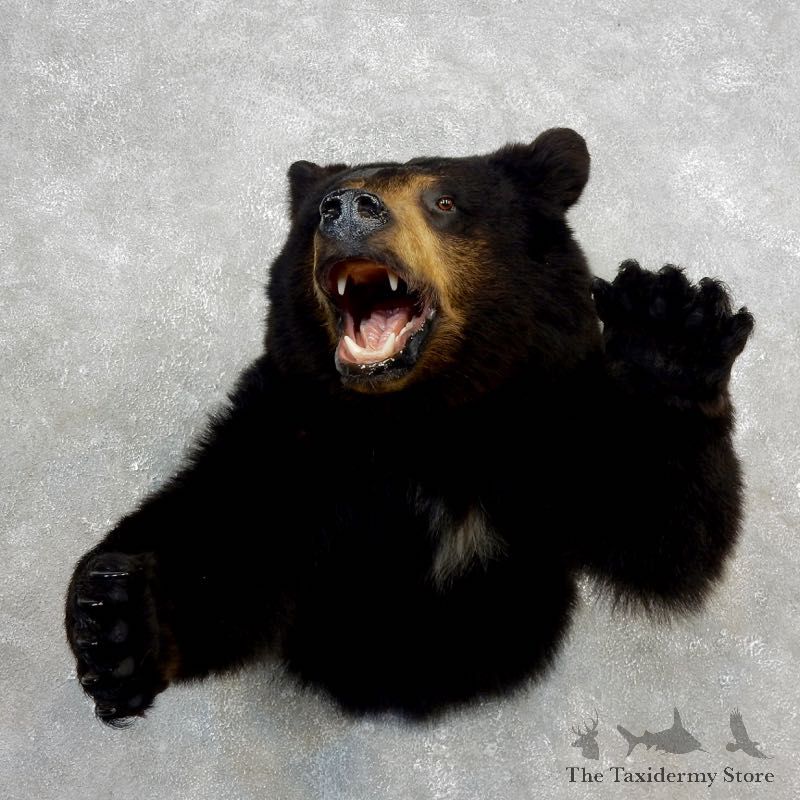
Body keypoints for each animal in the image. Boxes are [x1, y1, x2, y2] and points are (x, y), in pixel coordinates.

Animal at [65, 128, 754, 725]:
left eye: (444, 201)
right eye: (317, 209)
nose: (346, 209)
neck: (423, 420)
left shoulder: (546, 422)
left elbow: (655, 532)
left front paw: (669, 328)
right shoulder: (295, 430)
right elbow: (226, 531)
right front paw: (118, 623)